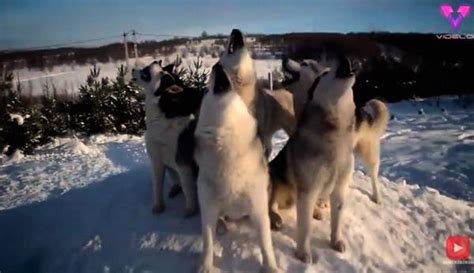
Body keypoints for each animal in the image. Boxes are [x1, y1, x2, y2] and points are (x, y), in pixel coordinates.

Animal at [131, 60, 202, 217]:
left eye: (145, 73)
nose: (132, 69)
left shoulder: (182, 162)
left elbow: (189, 189)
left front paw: (190, 210)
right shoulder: (156, 160)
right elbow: (157, 187)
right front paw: (158, 206)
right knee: (178, 183)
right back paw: (175, 189)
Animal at [194, 28, 280, 270]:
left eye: (218, 64)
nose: (216, 66)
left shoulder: (258, 209)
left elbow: (266, 246)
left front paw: (271, 268)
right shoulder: (208, 210)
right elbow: (207, 244)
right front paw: (205, 268)